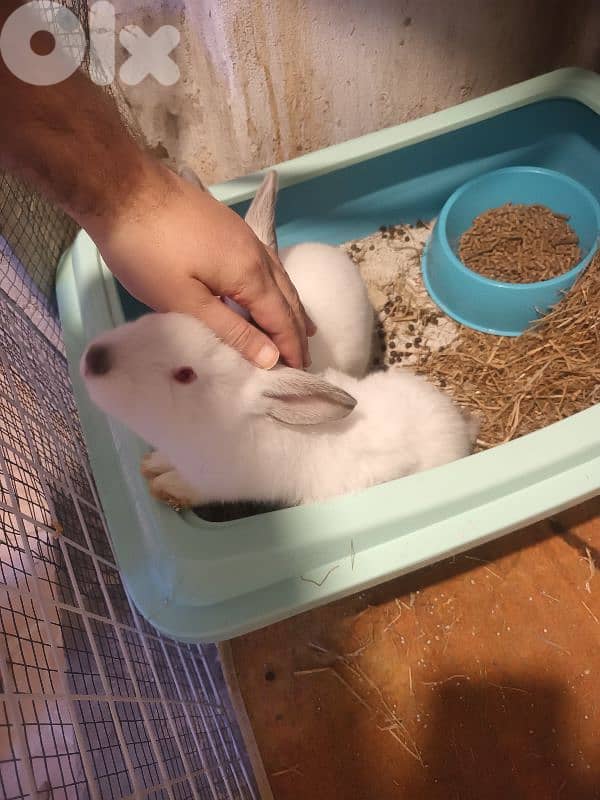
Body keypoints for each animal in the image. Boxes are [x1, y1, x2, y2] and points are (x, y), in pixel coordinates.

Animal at [80, 312, 477, 509]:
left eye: (185, 375)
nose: (94, 359)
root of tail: (458, 426)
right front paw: (150, 465)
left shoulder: (218, 485)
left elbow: (186, 486)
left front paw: (163, 486)